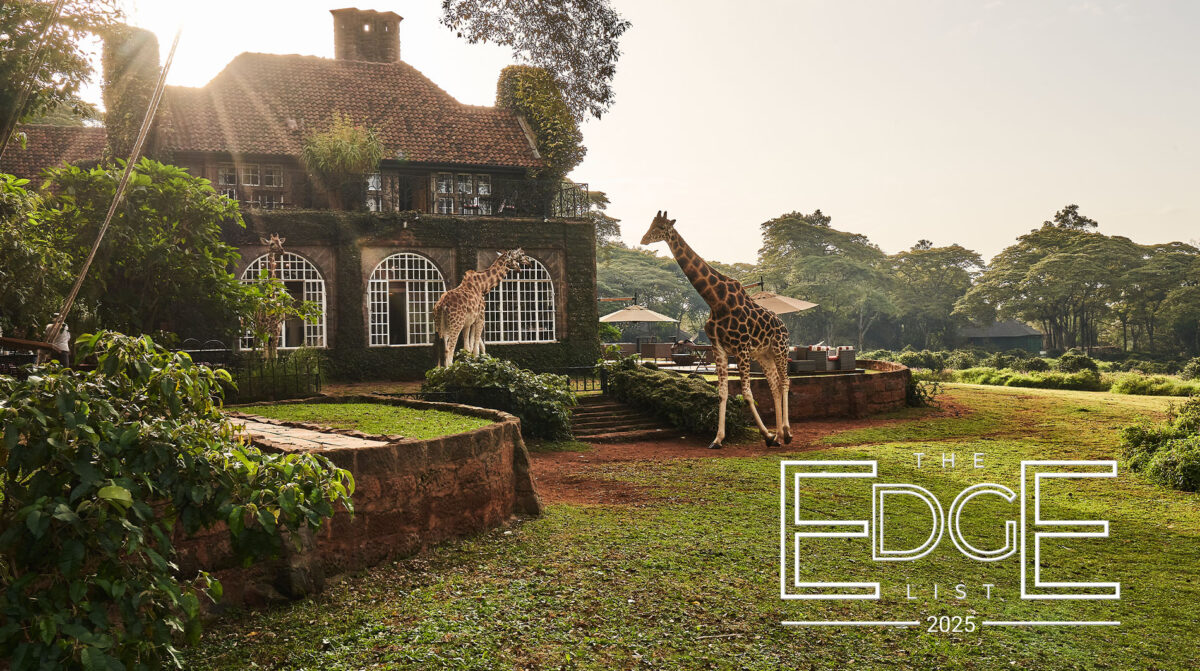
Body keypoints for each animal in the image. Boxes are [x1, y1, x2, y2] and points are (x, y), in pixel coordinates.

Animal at [641, 211, 791, 449]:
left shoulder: (741, 348)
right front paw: (718, 439)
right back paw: (779, 435)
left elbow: (747, 393)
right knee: (775, 384)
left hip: (780, 349)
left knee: (785, 382)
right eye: (651, 224)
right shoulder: (719, 348)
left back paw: (786, 433)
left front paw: (766, 435)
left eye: (661, 227)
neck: (716, 300)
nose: (643, 239)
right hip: (763, 354)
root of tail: (784, 326)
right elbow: (722, 392)